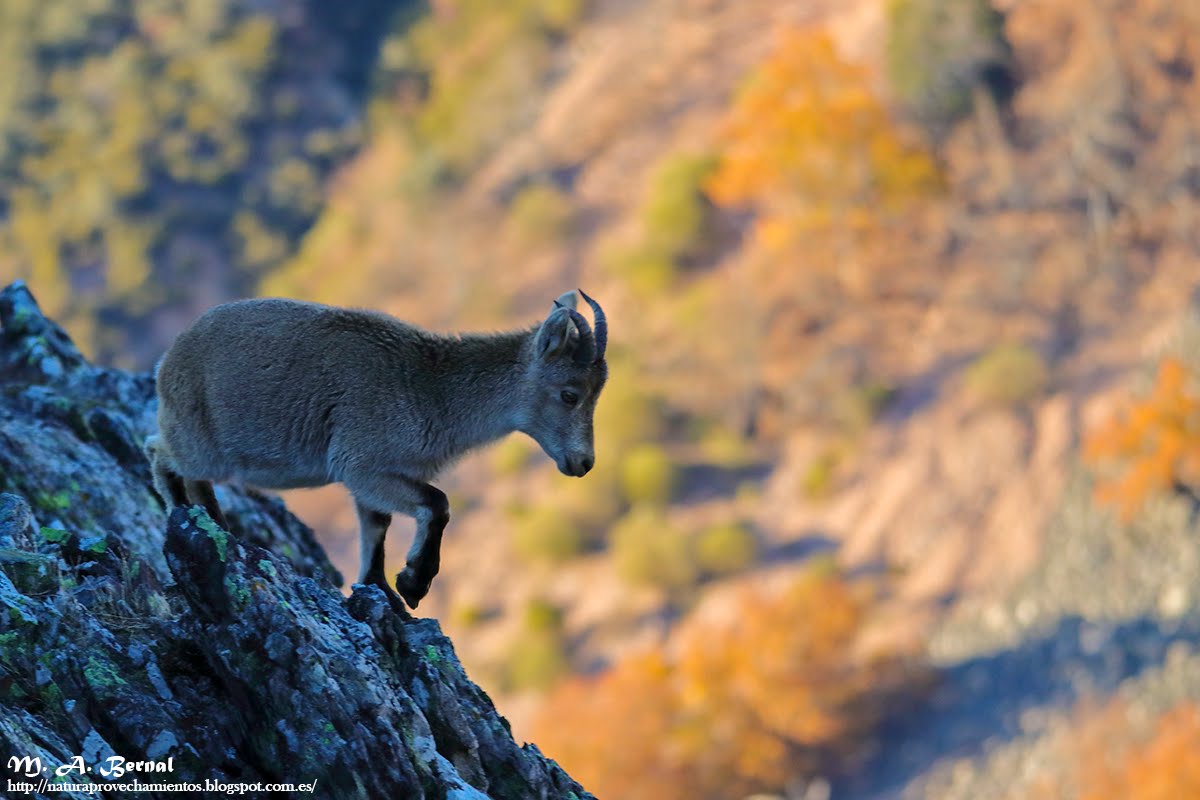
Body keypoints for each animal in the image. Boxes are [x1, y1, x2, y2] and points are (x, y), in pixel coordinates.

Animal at [145, 290, 608, 610]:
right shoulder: (363, 464)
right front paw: (413, 583)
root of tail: (167, 360)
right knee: (158, 452)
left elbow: (376, 529)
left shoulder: (372, 477)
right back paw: (187, 515)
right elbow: (437, 504)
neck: (431, 391)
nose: (583, 463)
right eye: (570, 394)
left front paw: (382, 590)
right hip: (198, 439)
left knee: (193, 478)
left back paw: (215, 524)